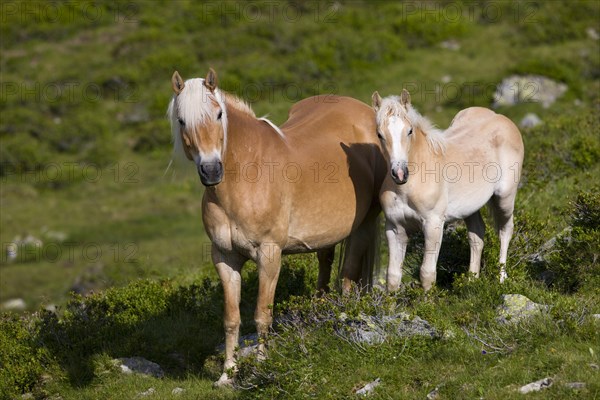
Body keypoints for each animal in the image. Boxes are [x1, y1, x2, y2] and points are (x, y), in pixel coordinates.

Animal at [168, 69, 384, 388]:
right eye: (182, 120)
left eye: (219, 114)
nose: (211, 171)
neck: (245, 176)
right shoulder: (224, 258)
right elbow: (231, 318)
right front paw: (227, 374)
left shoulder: (269, 256)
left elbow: (262, 315)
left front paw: (260, 368)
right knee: (326, 264)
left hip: (365, 224)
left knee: (348, 276)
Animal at [372, 90, 524, 290]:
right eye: (380, 134)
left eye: (409, 131)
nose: (400, 174)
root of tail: (502, 118)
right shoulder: (395, 228)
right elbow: (393, 276)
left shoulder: (433, 224)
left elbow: (427, 273)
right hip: (470, 207)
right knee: (477, 235)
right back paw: (471, 282)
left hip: (504, 198)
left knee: (505, 230)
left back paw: (502, 279)